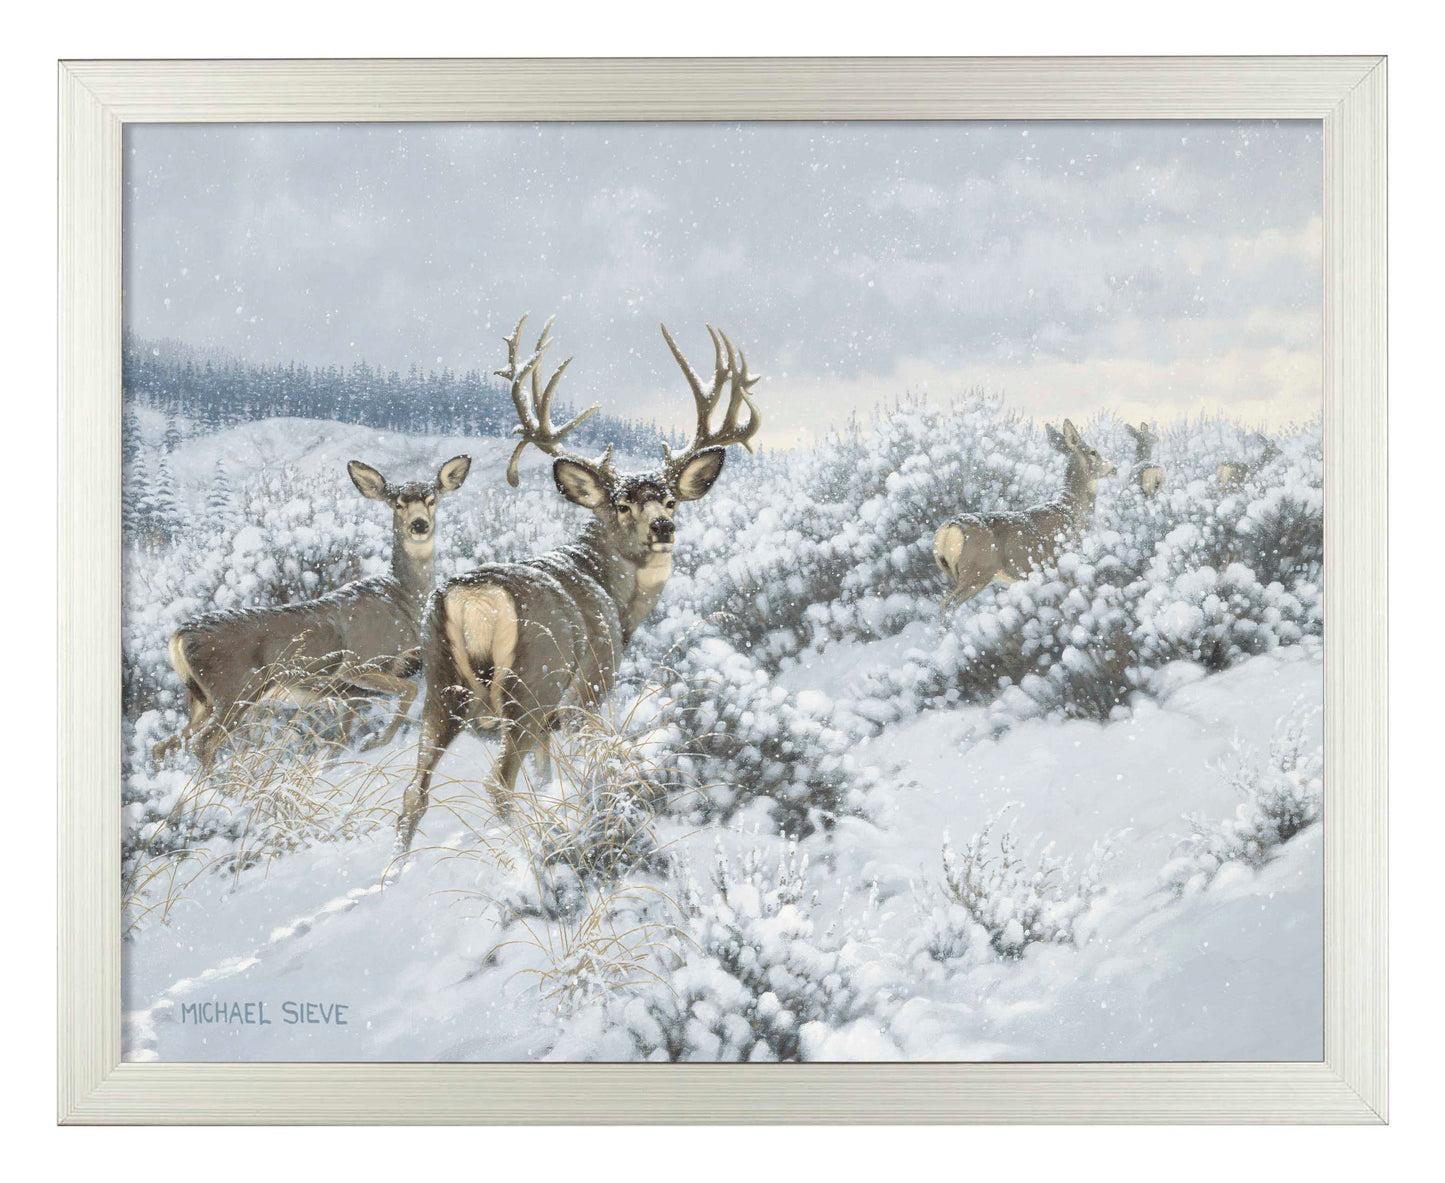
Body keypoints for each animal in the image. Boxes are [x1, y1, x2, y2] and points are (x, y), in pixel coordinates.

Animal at [153, 454, 473, 771]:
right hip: (236, 690)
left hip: (202, 700)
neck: (402, 600)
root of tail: (179, 637)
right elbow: (409, 691)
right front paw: (376, 741)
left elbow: (342, 737)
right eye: (397, 503)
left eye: (432, 499)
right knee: (203, 744)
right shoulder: (359, 663)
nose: (419, 524)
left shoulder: (350, 692)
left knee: (165, 745)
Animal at [393, 314, 761, 852]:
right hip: (534, 683)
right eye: (622, 504)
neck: (613, 594)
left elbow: (547, 775)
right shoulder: (590, 690)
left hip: (440, 684)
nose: (663, 528)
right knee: (497, 785)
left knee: (413, 795)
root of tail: (474, 597)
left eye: (671, 500)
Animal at [932, 419, 1116, 622]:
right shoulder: (1063, 562)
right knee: (947, 604)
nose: (1114, 468)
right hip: (978, 570)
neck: (1071, 511)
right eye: (1093, 452)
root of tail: (948, 530)